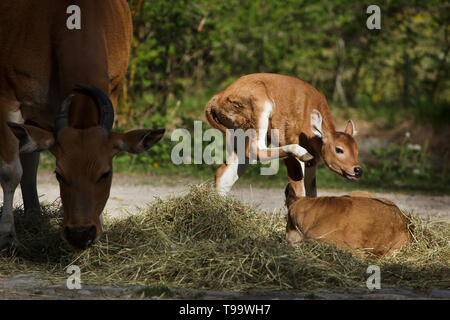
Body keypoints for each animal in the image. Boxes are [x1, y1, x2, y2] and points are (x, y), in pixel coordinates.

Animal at [0, 0, 165, 250]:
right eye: (59, 174)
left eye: (106, 174)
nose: (80, 234)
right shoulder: (7, 98)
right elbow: (11, 172)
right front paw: (8, 236)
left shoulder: (114, 90)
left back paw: (34, 215)